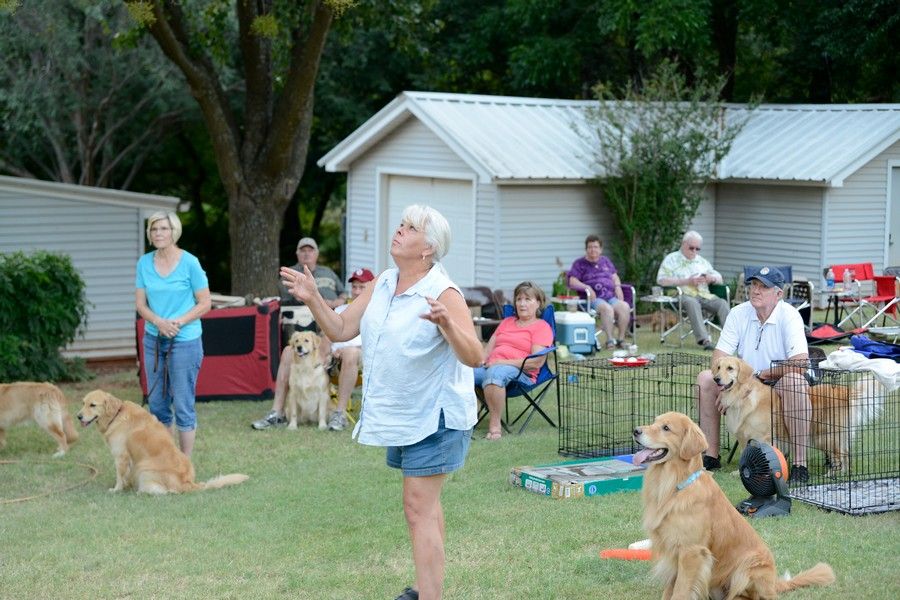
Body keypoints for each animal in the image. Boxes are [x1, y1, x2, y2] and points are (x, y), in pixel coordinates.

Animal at [77, 390, 248, 494]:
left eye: (93, 405)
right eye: (83, 403)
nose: (78, 416)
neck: (117, 414)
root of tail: (188, 482)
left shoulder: (121, 456)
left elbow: (120, 476)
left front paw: (117, 489)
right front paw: (126, 486)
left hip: (144, 468)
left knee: (165, 492)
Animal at [633, 411, 835, 599]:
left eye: (666, 428)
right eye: (654, 422)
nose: (636, 431)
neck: (673, 486)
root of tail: (774, 584)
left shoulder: (691, 551)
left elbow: (681, 591)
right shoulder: (671, 549)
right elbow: (670, 589)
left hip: (748, 565)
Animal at [712, 355, 881, 474]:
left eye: (730, 368)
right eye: (719, 367)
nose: (716, 379)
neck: (742, 395)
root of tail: (845, 391)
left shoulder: (766, 437)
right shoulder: (743, 438)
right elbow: (744, 456)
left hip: (825, 436)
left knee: (840, 455)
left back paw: (833, 474)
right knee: (845, 454)